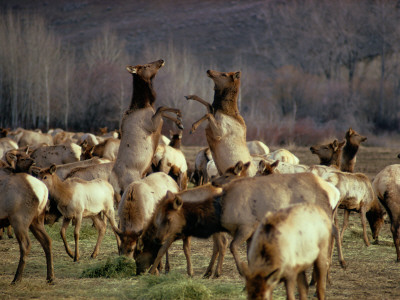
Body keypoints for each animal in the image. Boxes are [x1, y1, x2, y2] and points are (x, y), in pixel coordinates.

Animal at [110, 60, 184, 196]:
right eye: (146, 66)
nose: (161, 60)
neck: (144, 104)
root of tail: (114, 183)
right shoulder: (151, 125)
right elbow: (161, 108)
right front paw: (179, 117)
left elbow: (162, 110)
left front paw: (179, 120)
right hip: (131, 181)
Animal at [148, 172, 340, 278]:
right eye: (158, 215)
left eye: (167, 218)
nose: (157, 238)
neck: (220, 211)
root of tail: (333, 192)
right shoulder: (251, 233)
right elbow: (248, 253)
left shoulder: (247, 227)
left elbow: (232, 246)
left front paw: (241, 271)